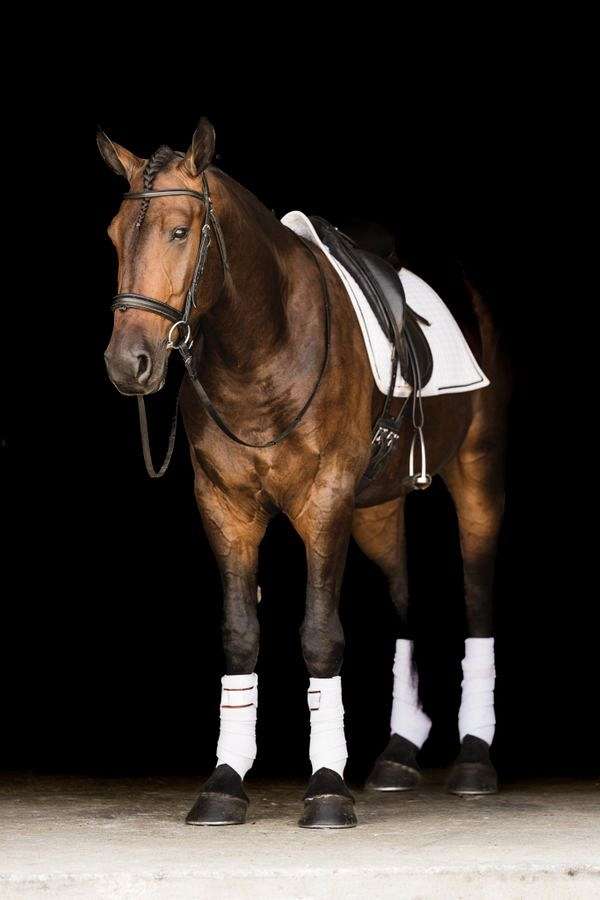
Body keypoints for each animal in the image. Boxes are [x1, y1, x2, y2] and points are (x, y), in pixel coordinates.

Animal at [99, 118, 511, 828]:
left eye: (180, 230)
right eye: (115, 236)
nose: (131, 362)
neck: (262, 350)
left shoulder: (323, 502)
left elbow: (320, 636)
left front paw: (326, 786)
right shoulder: (227, 507)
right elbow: (240, 636)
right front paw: (224, 781)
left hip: (476, 474)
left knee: (478, 598)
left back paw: (474, 760)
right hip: (375, 507)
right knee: (404, 597)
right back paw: (399, 753)